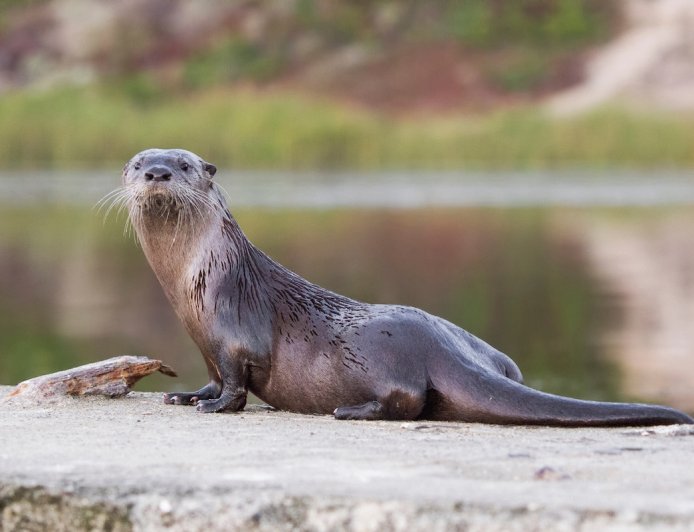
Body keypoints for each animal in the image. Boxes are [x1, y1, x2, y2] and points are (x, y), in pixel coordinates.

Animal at [114, 148, 693, 426]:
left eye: (185, 164)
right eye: (137, 163)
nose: (158, 172)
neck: (199, 279)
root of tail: (440, 347)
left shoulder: (236, 335)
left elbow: (235, 385)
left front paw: (215, 408)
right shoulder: (206, 344)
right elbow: (212, 378)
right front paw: (187, 395)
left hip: (376, 355)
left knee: (407, 399)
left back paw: (351, 411)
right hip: (490, 354)